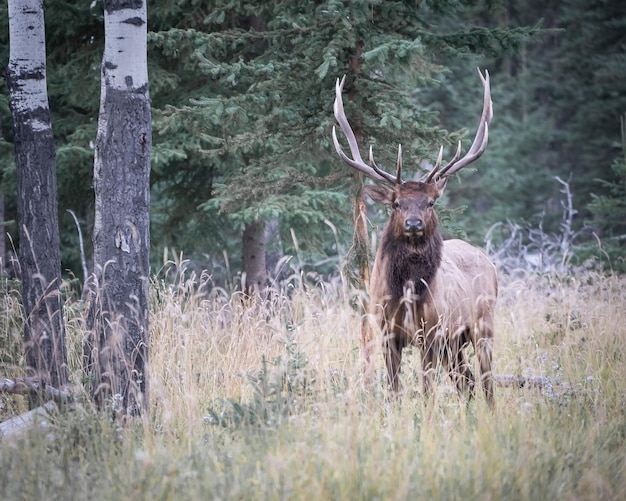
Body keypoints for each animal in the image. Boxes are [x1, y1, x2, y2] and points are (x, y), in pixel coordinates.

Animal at [332, 69, 498, 406]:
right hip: (455, 344)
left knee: (487, 383)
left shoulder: (432, 331)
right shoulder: (386, 332)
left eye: (430, 202)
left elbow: (426, 389)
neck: (406, 291)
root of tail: (491, 264)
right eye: (396, 203)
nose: (413, 223)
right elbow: (394, 389)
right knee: (468, 382)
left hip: (482, 325)